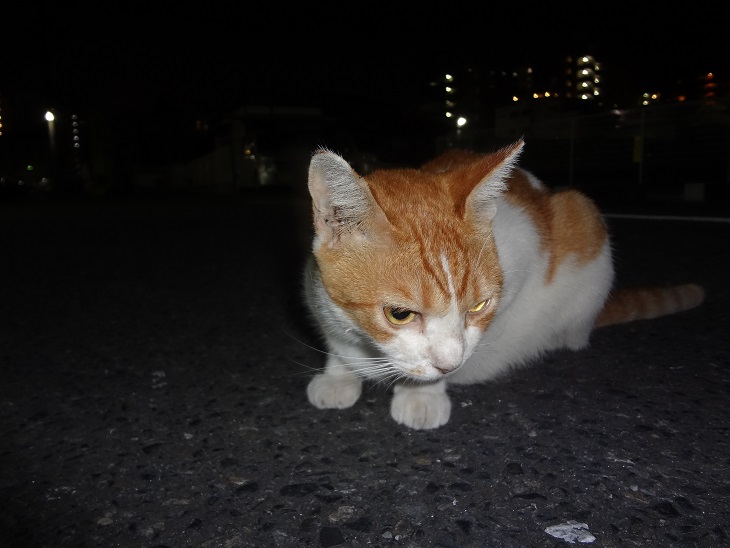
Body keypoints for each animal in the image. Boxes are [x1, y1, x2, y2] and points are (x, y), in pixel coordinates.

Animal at [302, 139, 705, 430]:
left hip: (584, 220)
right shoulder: (316, 291)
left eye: (479, 306)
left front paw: (424, 394)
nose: (450, 367)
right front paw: (339, 373)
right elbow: (335, 336)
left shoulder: (522, 249)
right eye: (400, 314)